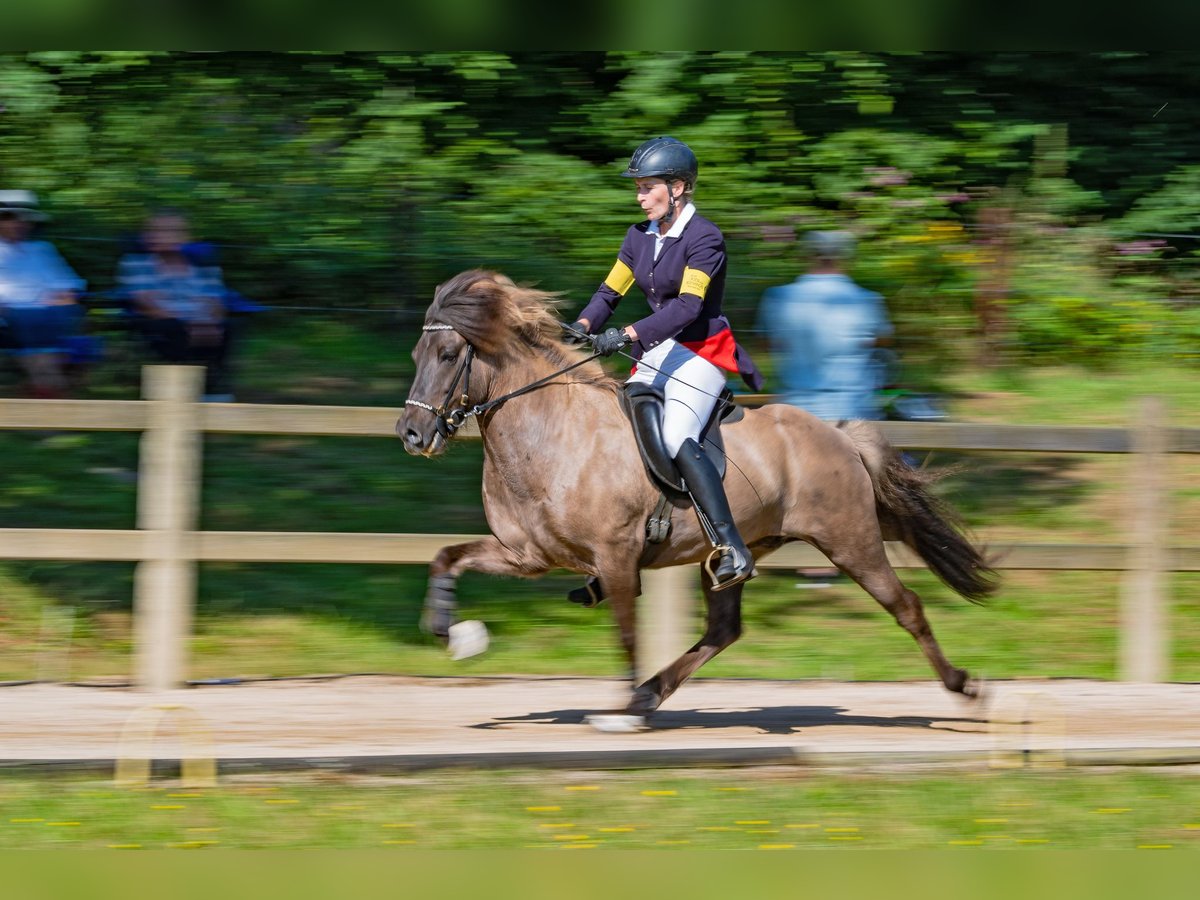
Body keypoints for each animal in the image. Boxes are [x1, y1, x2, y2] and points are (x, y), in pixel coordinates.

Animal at [393, 271, 993, 724]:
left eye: (448, 354)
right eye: (418, 351)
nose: (412, 435)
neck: (550, 432)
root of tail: (839, 433)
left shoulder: (615, 558)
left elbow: (626, 632)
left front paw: (622, 710)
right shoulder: (526, 554)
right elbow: (446, 557)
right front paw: (452, 632)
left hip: (851, 541)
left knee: (906, 607)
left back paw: (966, 688)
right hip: (733, 553)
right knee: (724, 629)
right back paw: (654, 693)